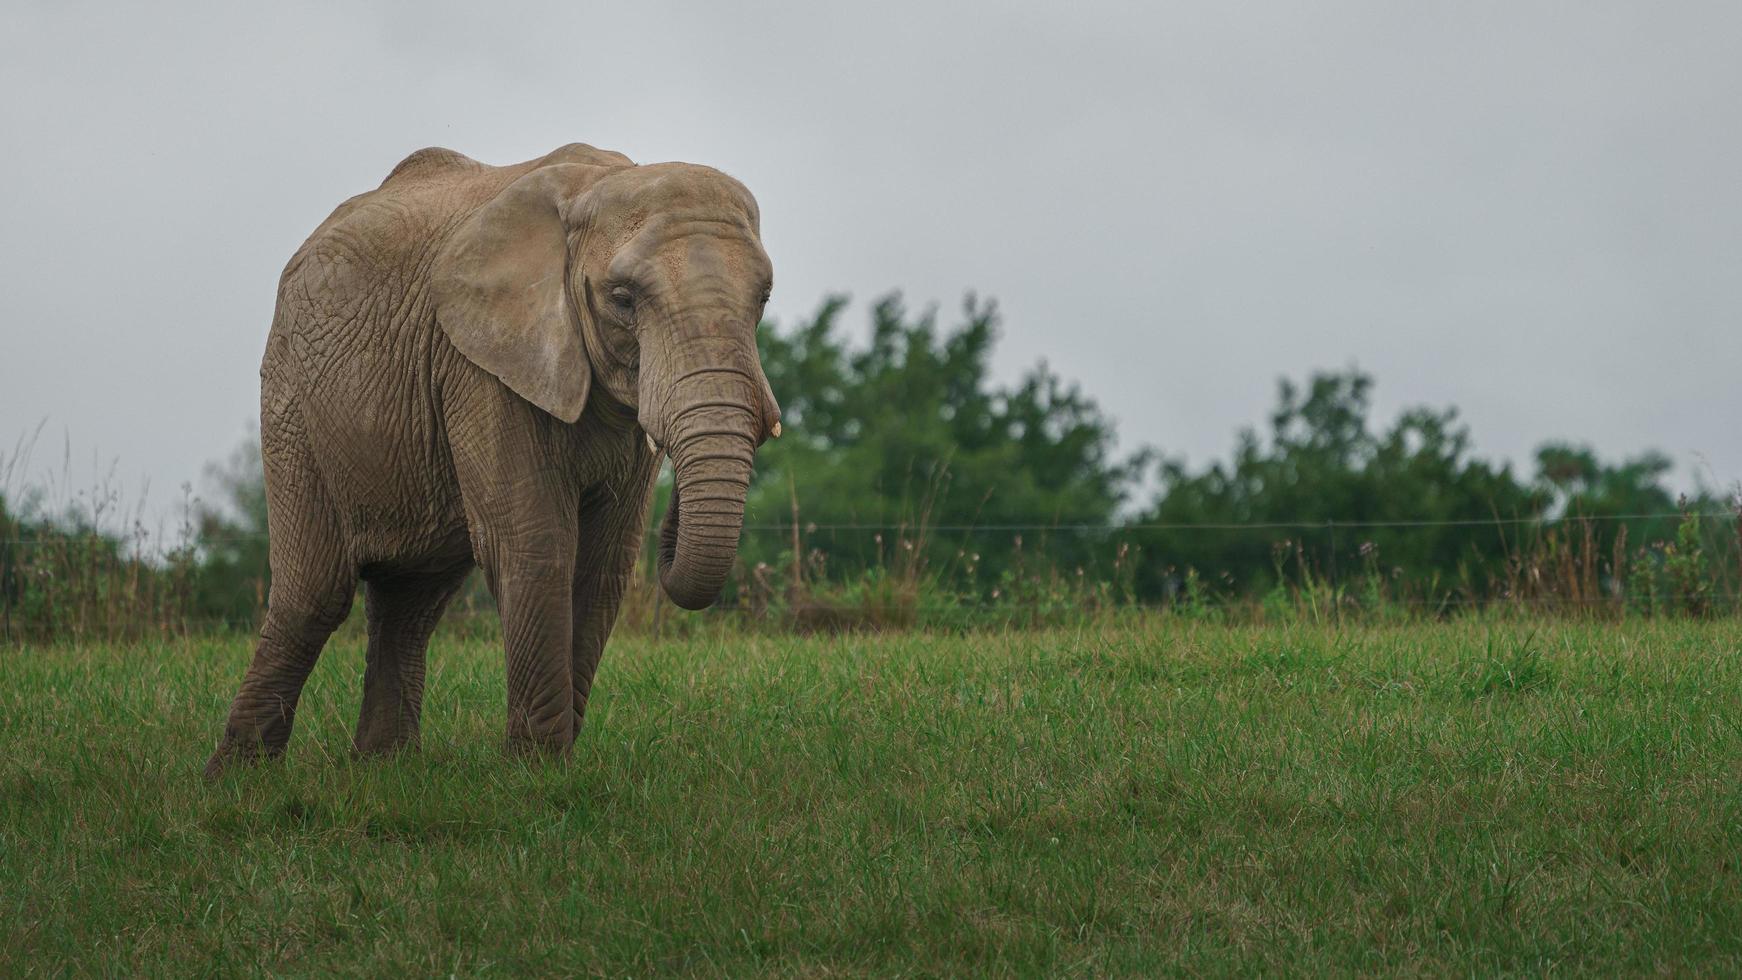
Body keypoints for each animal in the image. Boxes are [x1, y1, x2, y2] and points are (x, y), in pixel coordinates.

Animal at [202, 143, 776, 776]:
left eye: (764, 299)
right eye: (623, 300)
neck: (601, 183)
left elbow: (604, 561)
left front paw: (553, 765)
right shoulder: (480, 364)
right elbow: (534, 541)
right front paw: (538, 773)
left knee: (411, 601)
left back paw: (383, 770)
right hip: (293, 403)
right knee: (315, 595)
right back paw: (239, 779)